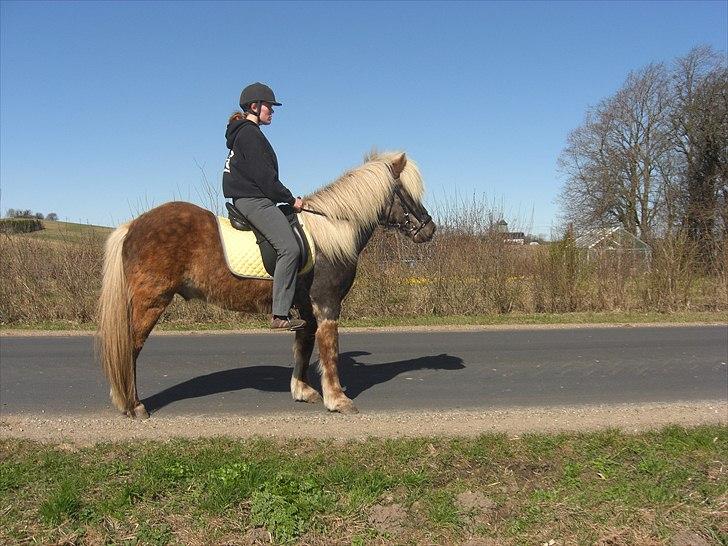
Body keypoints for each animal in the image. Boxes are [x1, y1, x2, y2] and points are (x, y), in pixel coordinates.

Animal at [96, 151, 438, 414]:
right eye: (405, 193)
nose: (429, 229)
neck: (331, 231)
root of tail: (132, 226)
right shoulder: (327, 304)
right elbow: (329, 351)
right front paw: (338, 399)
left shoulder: (305, 309)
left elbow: (304, 347)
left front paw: (303, 391)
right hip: (151, 301)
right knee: (130, 348)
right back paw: (134, 405)